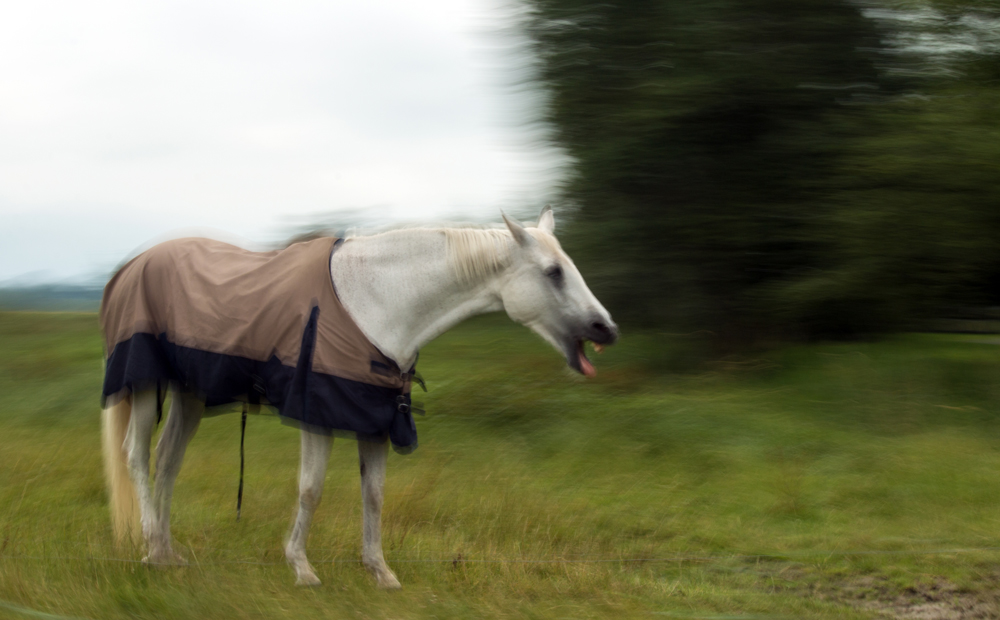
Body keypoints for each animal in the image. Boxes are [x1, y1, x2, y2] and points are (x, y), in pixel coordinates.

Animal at [103, 207, 616, 588]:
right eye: (553, 272)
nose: (606, 329)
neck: (378, 301)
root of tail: (130, 266)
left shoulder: (377, 420)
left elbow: (374, 494)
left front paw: (380, 572)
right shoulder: (317, 415)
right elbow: (311, 489)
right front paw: (301, 568)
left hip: (190, 394)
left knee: (168, 460)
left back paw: (168, 552)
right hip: (145, 386)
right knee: (137, 457)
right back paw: (152, 548)